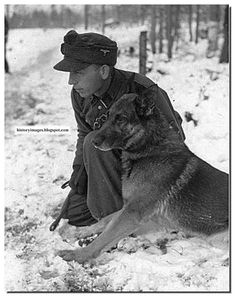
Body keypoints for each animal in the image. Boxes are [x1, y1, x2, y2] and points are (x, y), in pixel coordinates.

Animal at [58, 88, 229, 264]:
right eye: (107, 116)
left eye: (121, 119)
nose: (94, 141)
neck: (149, 150)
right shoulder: (133, 211)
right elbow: (106, 221)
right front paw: (77, 231)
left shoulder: (133, 213)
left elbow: (103, 237)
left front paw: (78, 255)